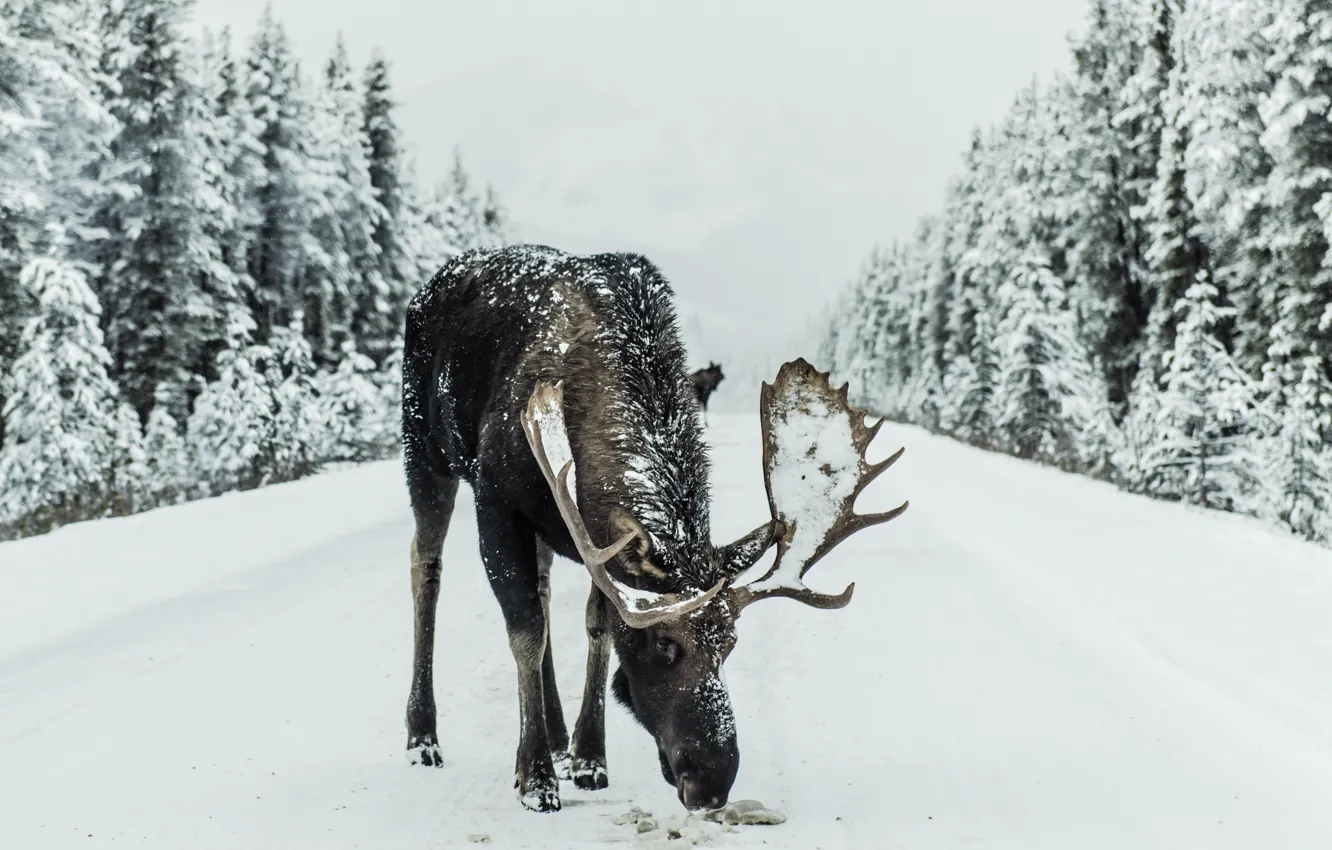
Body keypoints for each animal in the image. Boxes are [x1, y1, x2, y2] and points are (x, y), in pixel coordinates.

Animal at [401, 245, 908, 813]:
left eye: (731, 643)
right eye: (665, 644)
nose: (712, 782)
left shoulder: (590, 536)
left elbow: (596, 627)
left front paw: (588, 756)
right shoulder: (496, 498)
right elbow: (525, 630)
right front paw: (534, 778)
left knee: (544, 588)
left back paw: (556, 734)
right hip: (424, 448)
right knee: (427, 568)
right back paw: (423, 736)